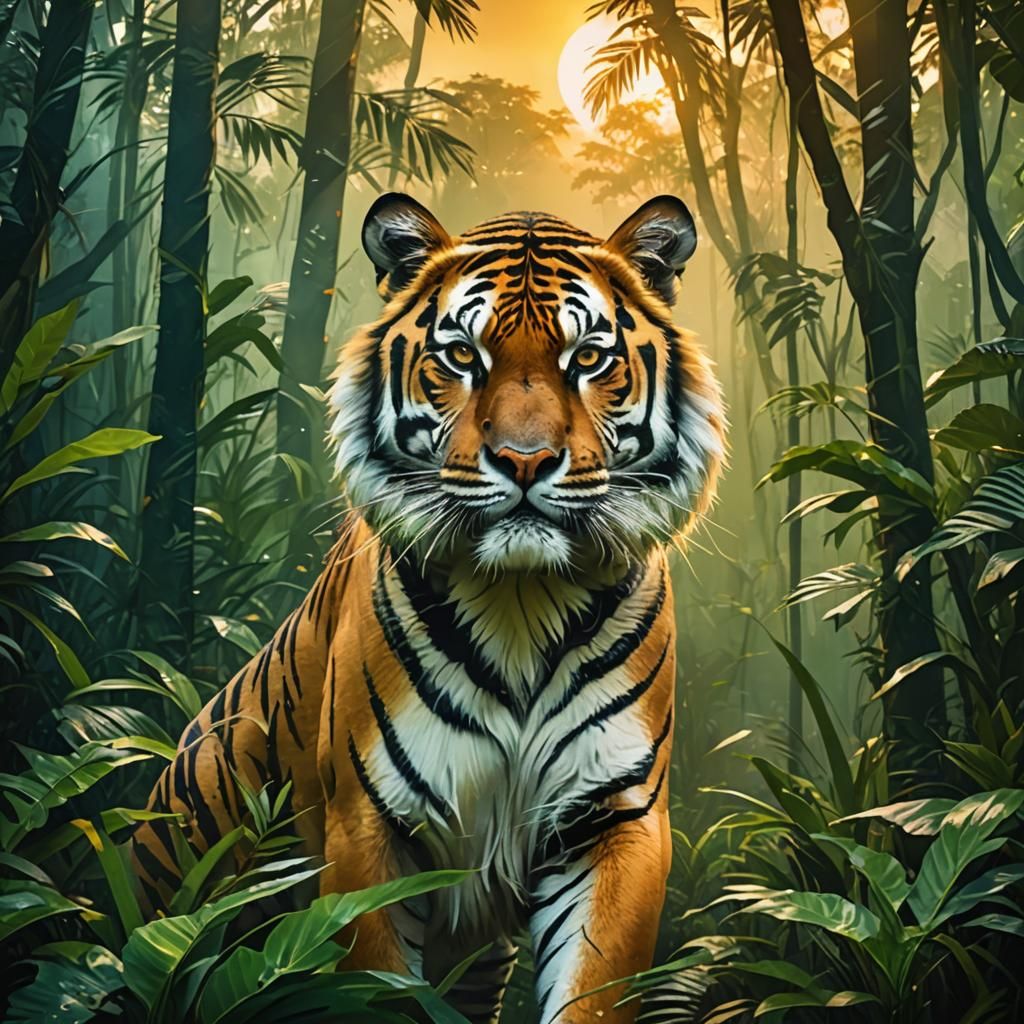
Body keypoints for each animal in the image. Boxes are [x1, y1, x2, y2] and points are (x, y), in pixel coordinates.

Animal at [132, 193, 725, 1023]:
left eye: (587, 359)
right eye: (463, 357)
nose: (524, 461)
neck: (520, 601)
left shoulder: (613, 817)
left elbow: (592, 992)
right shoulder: (369, 829)